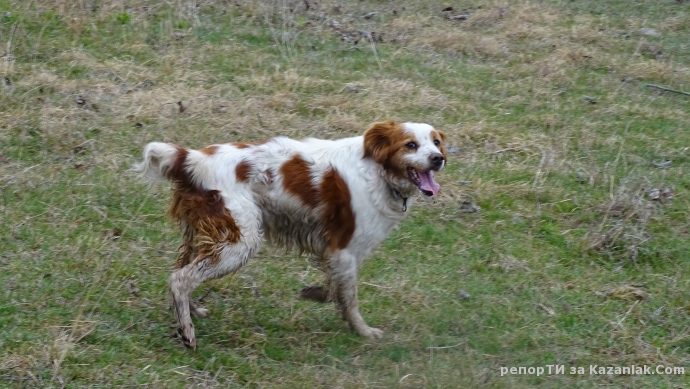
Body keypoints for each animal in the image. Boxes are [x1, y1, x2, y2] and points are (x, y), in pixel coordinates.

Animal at [134, 119, 446, 348]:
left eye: (437, 142)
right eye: (411, 144)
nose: (438, 158)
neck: (378, 171)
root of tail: (192, 158)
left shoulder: (337, 255)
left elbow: (335, 290)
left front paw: (315, 294)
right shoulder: (344, 250)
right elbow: (349, 298)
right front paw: (363, 331)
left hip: (204, 235)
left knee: (182, 272)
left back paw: (193, 312)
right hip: (240, 242)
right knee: (180, 279)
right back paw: (187, 332)